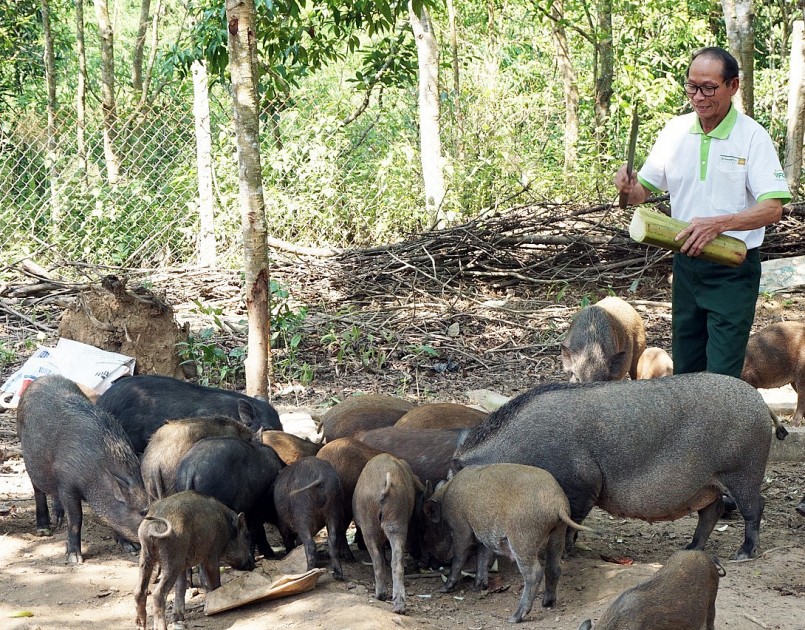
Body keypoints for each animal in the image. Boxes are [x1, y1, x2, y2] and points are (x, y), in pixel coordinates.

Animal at [452, 372, 784, 560]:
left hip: (743, 472)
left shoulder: (583, 485)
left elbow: (571, 520)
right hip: (708, 485)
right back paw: (690, 549)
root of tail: (760, 402)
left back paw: (743, 555)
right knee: (711, 512)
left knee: (756, 506)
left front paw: (567, 554)